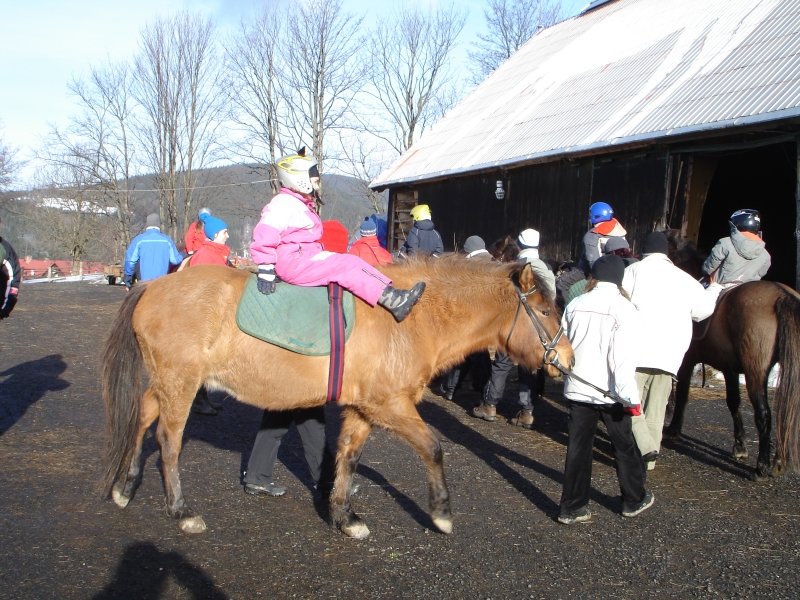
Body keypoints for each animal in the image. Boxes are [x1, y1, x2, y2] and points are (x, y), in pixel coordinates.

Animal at [101, 255, 576, 536]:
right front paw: (441, 512)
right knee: (168, 441)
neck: (411, 319)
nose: (567, 359)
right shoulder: (390, 404)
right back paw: (180, 510)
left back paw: (125, 485)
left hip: (167, 384)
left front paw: (344, 515)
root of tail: (152, 286)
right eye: (547, 310)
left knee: (143, 417)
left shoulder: (362, 408)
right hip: (181, 384)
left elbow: (348, 456)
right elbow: (434, 448)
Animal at [664, 231, 800, 478]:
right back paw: (777, 460)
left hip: (756, 370)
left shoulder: (687, 361)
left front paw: (673, 429)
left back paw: (762, 465)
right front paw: (740, 446)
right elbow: (733, 402)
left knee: (764, 413)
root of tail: (783, 295)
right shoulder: (729, 369)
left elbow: (683, 394)